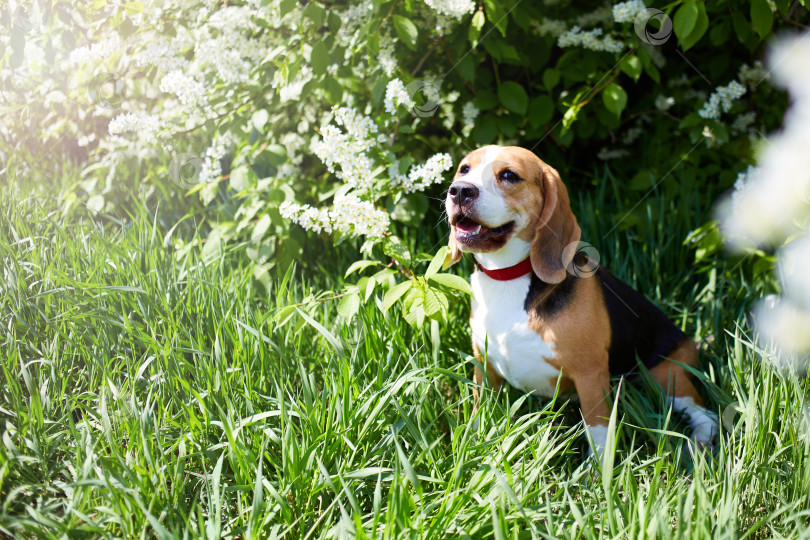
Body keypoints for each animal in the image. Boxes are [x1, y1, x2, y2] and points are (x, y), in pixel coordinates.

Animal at [446, 146, 716, 458]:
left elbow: (598, 431)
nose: (460, 191)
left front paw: (599, 469)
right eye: (464, 169)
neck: (507, 277)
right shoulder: (483, 364)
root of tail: (691, 343)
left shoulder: (590, 374)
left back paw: (702, 438)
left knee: (704, 412)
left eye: (509, 175)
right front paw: (472, 442)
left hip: (667, 376)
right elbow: (480, 408)